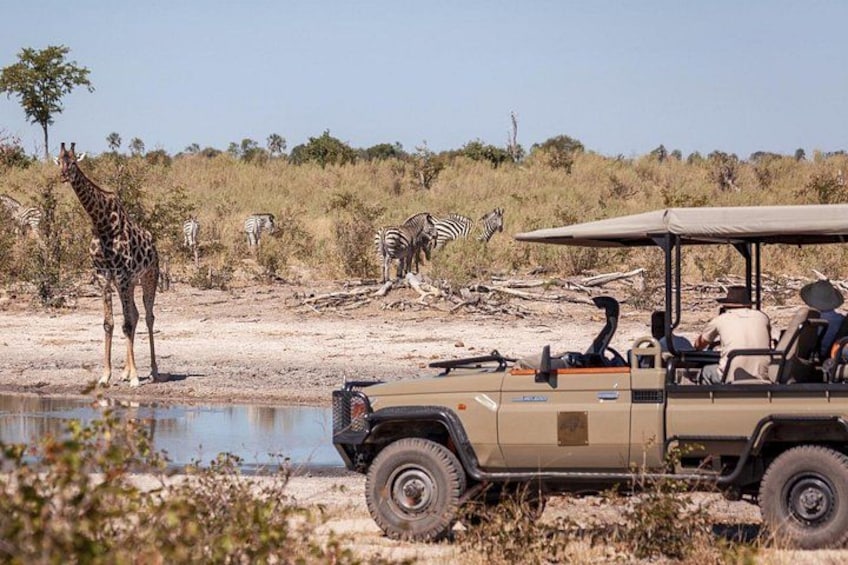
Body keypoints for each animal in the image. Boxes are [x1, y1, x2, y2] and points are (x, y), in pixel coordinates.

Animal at [56, 142, 160, 387]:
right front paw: (107, 375)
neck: (102, 224)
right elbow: (110, 323)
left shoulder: (122, 275)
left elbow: (126, 323)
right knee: (135, 315)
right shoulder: (104, 276)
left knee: (148, 316)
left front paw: (135, 378)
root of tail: (153, 241)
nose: (63, 175)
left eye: (73, 162)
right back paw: (126, 371)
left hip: (148, 276)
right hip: (129, 283)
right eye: (59, 160)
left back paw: (153, 371)